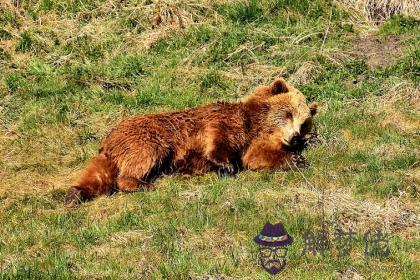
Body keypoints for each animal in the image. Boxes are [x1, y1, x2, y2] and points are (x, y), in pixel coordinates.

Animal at [65, 79, 316, 206]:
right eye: (289, 113)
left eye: (304, 122)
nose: (295, 137)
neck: (257, 122)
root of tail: (110, 139)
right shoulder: (224, 121)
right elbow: (219, 140)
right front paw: (225, 166)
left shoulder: (253, 141)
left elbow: (256, 157)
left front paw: (296, 159)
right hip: (146, 137)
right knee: (141, 159)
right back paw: (142, 184)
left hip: (112, 154)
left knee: (98, 175)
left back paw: (75, 193)